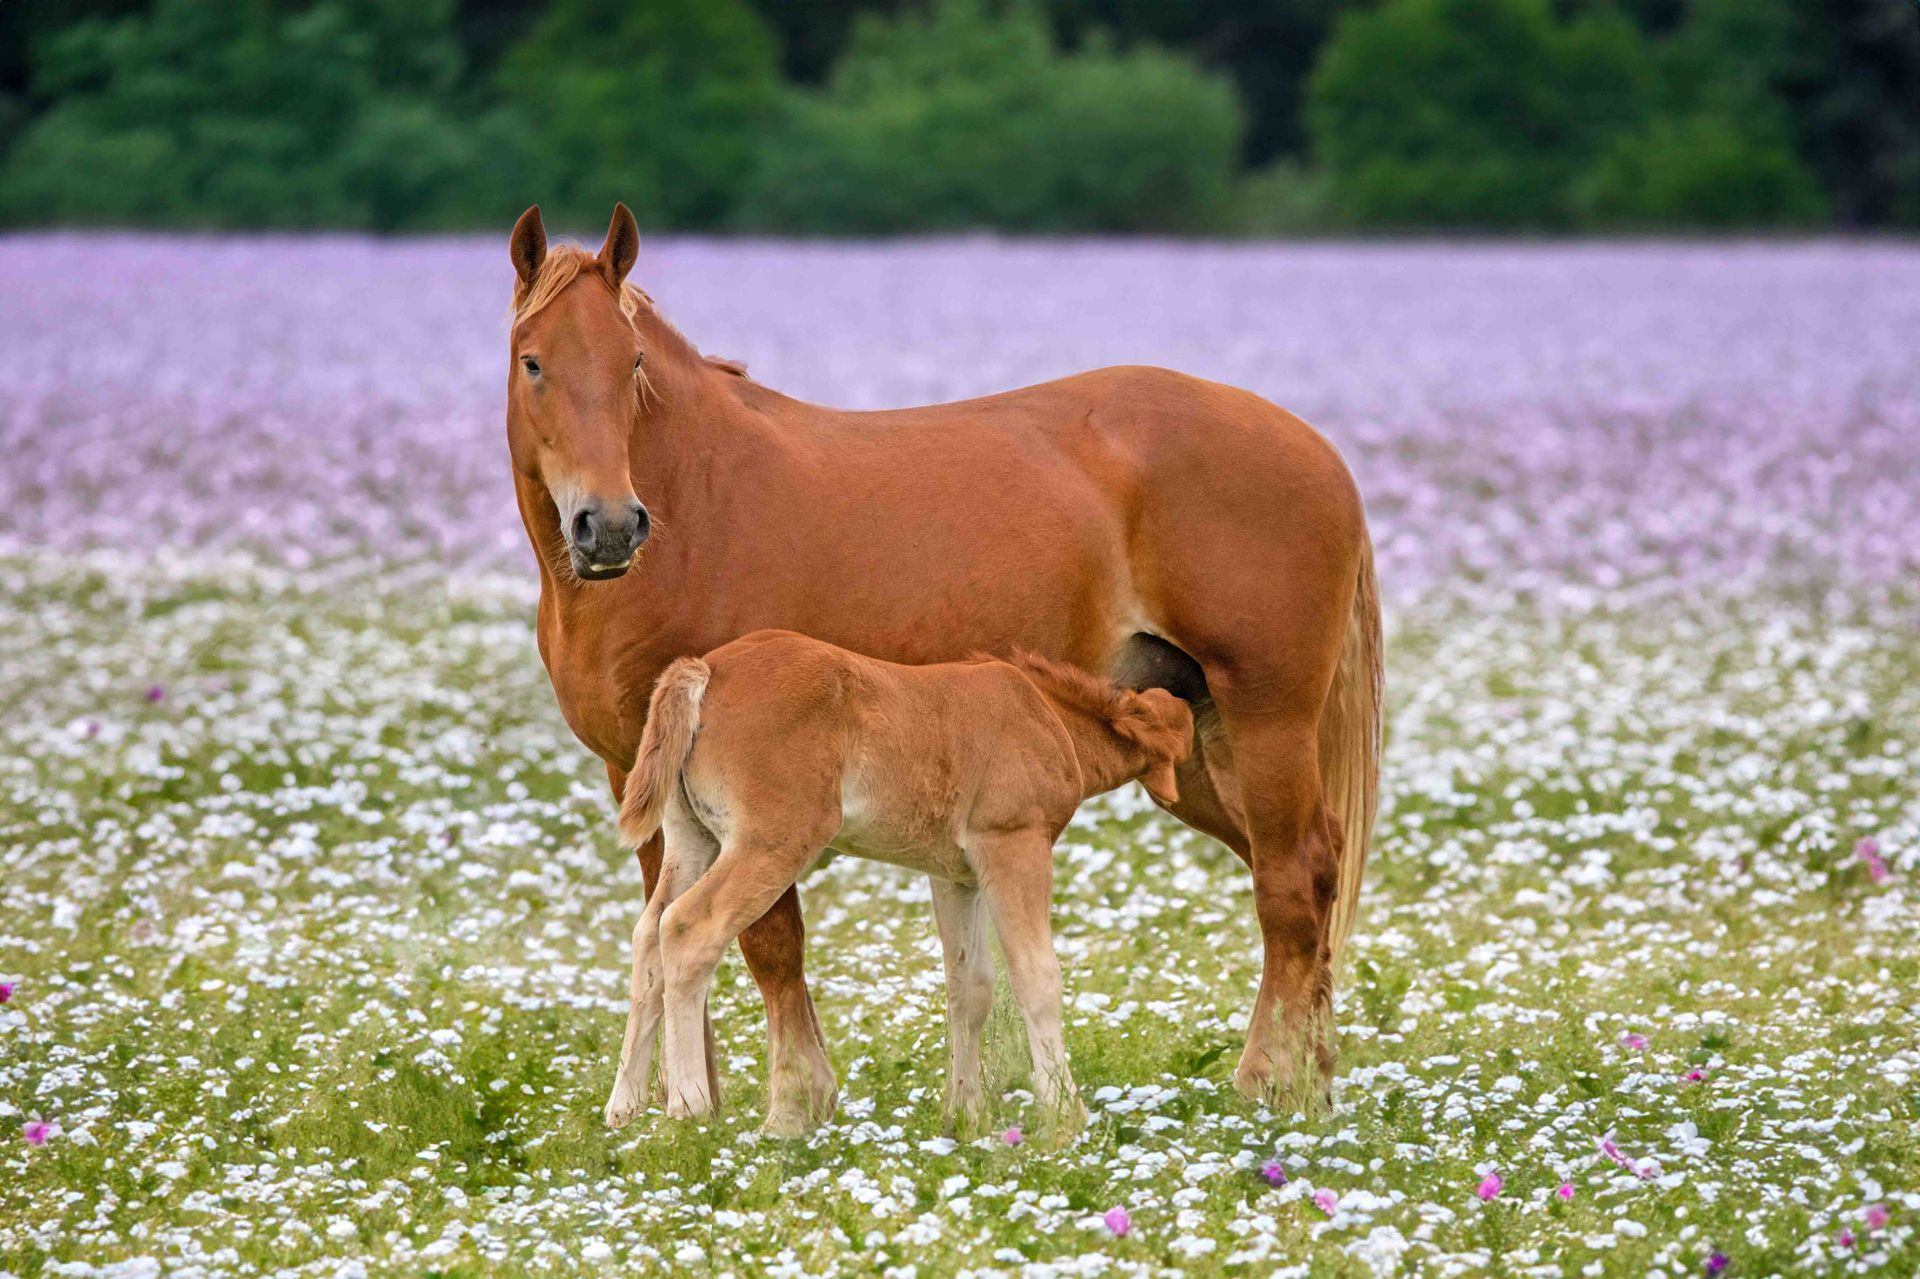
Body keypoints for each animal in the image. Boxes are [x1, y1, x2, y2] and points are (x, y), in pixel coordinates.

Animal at [603, 632, 1195, 1137]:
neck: (1046, 716)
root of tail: (704, 671)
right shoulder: (1013, 845)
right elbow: (1036, 977)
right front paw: (1065, 1115)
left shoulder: (955, 877)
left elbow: (969, 988)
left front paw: (964, 1116)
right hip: (772, 843)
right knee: (687, 929)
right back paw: (688, 1105)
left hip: (692, 839)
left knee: (649, 934)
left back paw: (625, 1106)